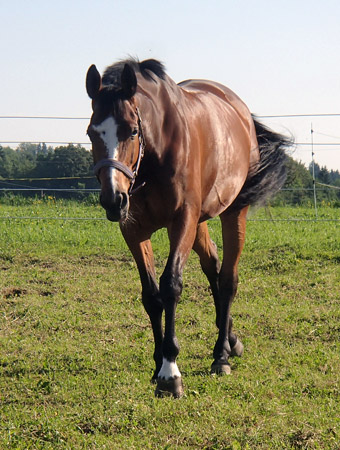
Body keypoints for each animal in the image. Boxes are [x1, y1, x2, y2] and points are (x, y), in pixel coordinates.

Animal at [85, 59, 290, 398]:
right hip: (201, 221)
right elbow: (151, 295)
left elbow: (171, 286)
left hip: (232, 212)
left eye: (132, 130)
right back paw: (231, 340)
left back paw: (221, 355)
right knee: (214, 267)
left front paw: (170, 372)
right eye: (91, 132)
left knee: (228, 279)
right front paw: (158, 364)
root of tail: (240, 110)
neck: (155, 156)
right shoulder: (134, 230)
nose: (113, 199)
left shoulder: (182, 221)